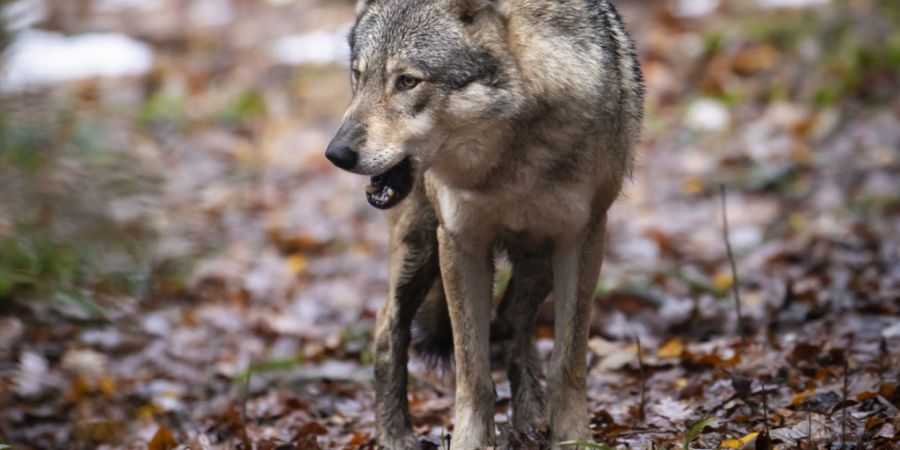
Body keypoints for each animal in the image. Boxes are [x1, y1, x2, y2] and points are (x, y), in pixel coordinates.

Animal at [325, 0, 644, 448]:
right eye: (359, 75)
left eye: (407, 81)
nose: (336, 154)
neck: (510, 162)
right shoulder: (461, 242)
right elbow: (472, 372)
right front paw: (470, 442)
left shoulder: (582, 238)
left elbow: (568, 362)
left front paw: (573, 439)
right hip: (420, 249)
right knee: (387, 328)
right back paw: (395, 435)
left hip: (536, 260)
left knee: (511, 321)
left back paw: (529, 419)